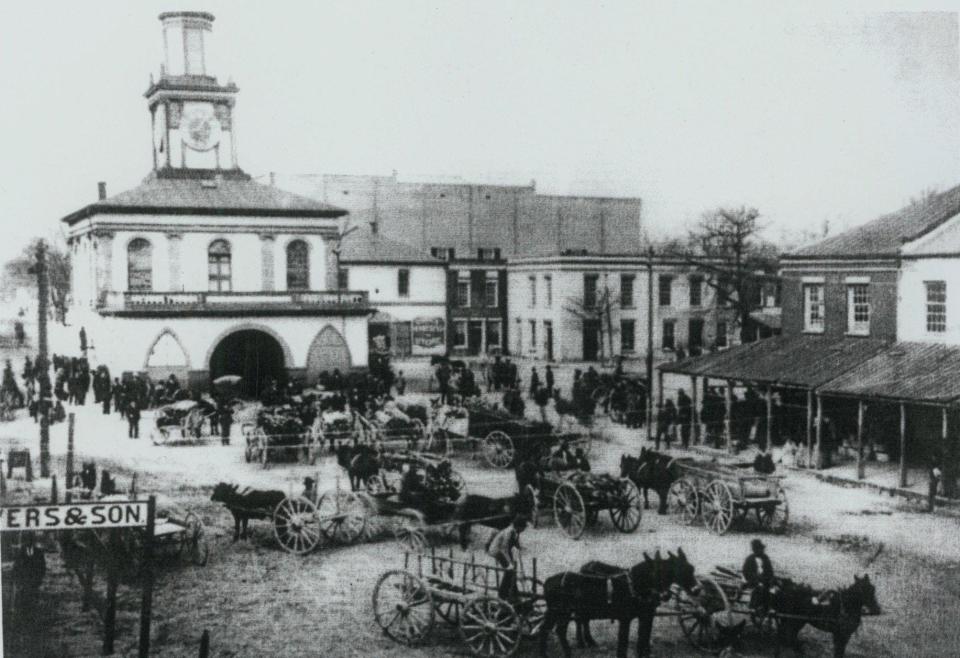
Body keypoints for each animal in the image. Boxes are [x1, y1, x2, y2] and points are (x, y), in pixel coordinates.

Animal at [540, 544, 696, 652]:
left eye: (692, 568)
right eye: (683, 570)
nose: (696, 589)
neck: (634, 584)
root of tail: (548, 581)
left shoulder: (646, 615)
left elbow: (643, 640)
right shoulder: (627, 618)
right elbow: (625, 645)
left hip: (561, 611)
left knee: (556, 627)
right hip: (563, 612)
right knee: (566, 628)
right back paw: (580, 644)